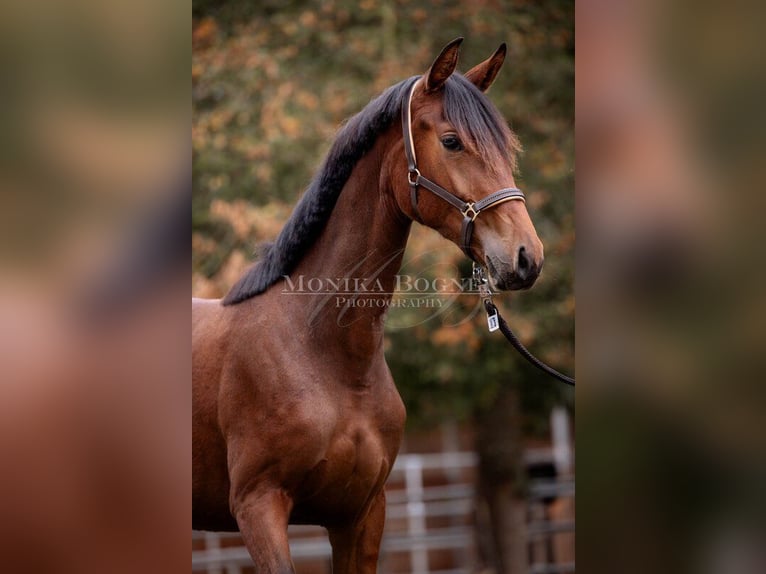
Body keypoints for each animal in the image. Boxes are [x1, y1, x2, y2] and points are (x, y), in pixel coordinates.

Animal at [192, 38, 544, 572]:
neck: (324, 353)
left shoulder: (361, 514)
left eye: (506, 148)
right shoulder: (259, 507)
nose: (527, 257)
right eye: (451, 142)